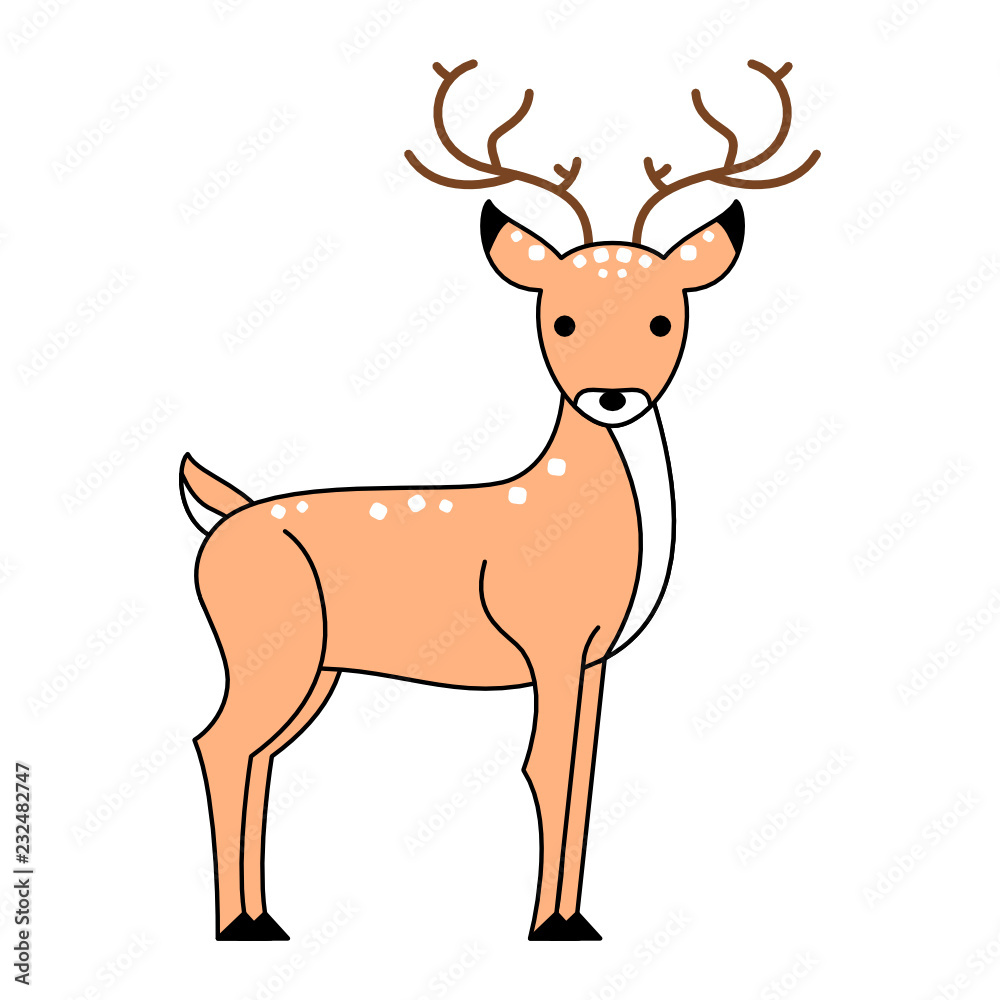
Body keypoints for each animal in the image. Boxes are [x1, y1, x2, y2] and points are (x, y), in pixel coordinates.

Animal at [181, 57, 819, 942]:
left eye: (663, 320)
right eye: (561, 320)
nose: (611, 396)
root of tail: (219, 516)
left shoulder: (593, 656)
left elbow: (585, 774)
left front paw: (573, 917)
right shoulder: (547, 637)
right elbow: (544, 766)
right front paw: (550, 926)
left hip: (312, 667)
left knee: (257, 753)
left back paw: (261, 916)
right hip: (264, 645)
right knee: (219, 743)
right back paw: (237, 924)